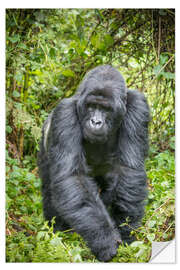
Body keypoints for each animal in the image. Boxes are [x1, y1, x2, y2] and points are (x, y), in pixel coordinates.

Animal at [38, 65, 150, 262]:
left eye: (105, 108)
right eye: (91, 106)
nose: (96, 121)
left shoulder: (139, 106)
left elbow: (128, 170)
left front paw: (125, 231)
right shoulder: (64, 114)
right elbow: (73, 178)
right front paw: (105, 241)